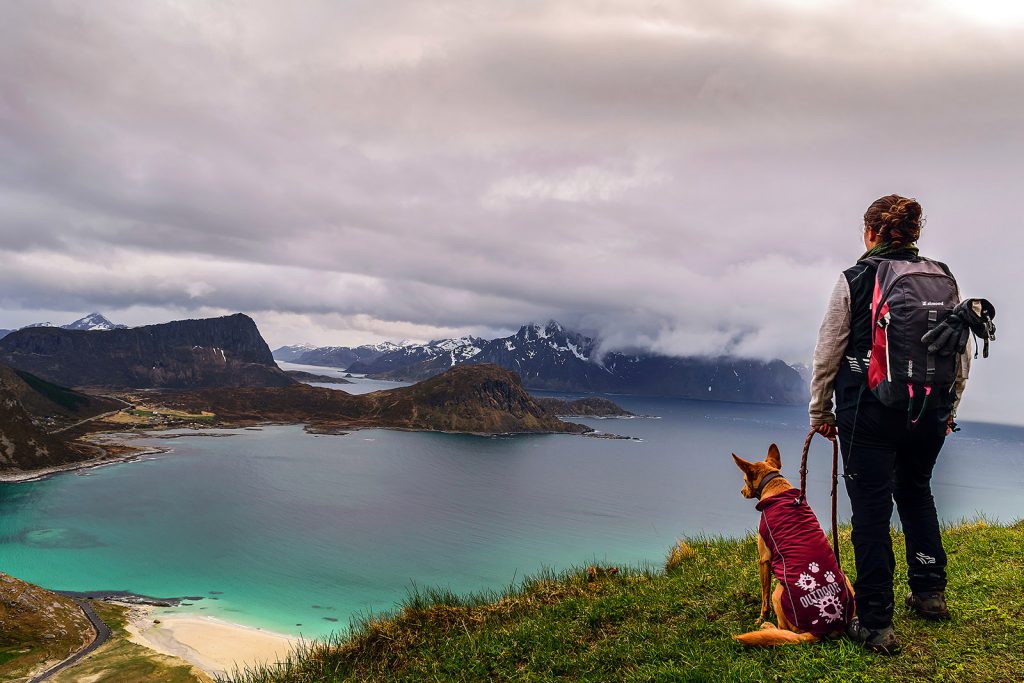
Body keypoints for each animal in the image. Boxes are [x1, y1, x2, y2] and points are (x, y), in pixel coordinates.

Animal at [729, 446, 856, 643]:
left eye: (744, 480)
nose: (741, 492)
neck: (775, 486)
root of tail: (819, 630)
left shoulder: (764, 559)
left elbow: (764, 595)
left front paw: (761, 618)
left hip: (778, 591)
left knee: (784, 630)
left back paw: (768, 627)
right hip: (848, 581)